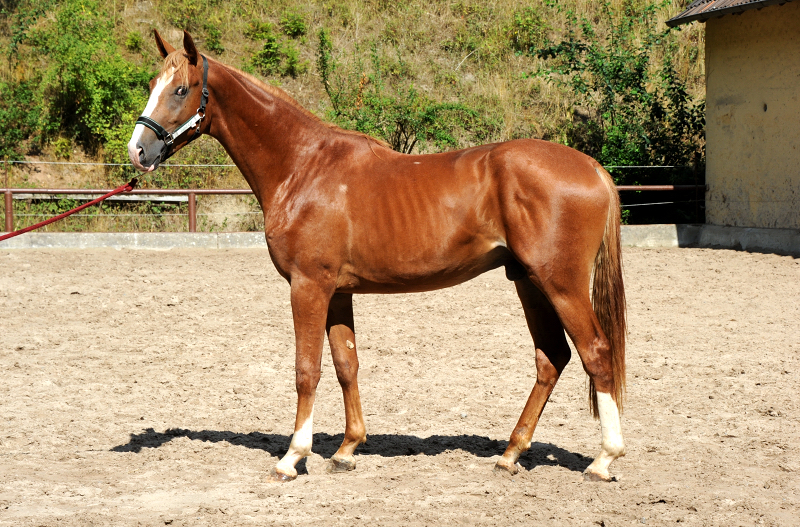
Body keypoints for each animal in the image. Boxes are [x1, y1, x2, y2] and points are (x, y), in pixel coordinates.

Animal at [128, 29, 624, 482]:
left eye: (180, 89)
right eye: (152, 83)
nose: (138, 150)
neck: (303, 166)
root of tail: (593, 168)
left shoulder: (308, 286)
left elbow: (306, 370)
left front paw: (293, 458)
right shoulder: (337, 292)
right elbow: (346, 364)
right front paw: (347, 449)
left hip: (560, 283)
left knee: (596, 353)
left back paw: (604, 460)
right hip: (528, 281)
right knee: (552, 358)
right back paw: (510, 454)